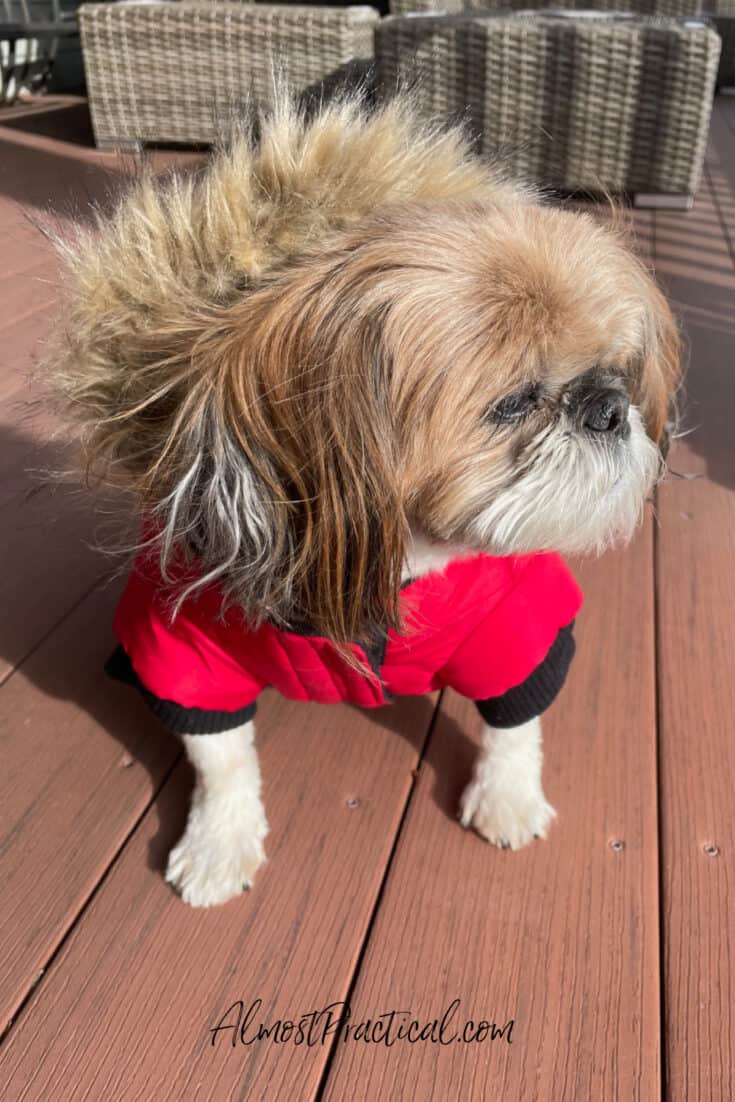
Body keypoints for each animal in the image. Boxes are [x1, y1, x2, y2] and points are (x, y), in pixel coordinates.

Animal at [47, 92, 678, 903]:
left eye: (617, 372)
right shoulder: (185, 648)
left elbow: (514, 723)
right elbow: (221, 757)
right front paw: (219, 842)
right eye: (512, 403)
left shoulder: (513, 622)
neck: (392, 560)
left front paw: (506, 799)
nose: (606, 407)